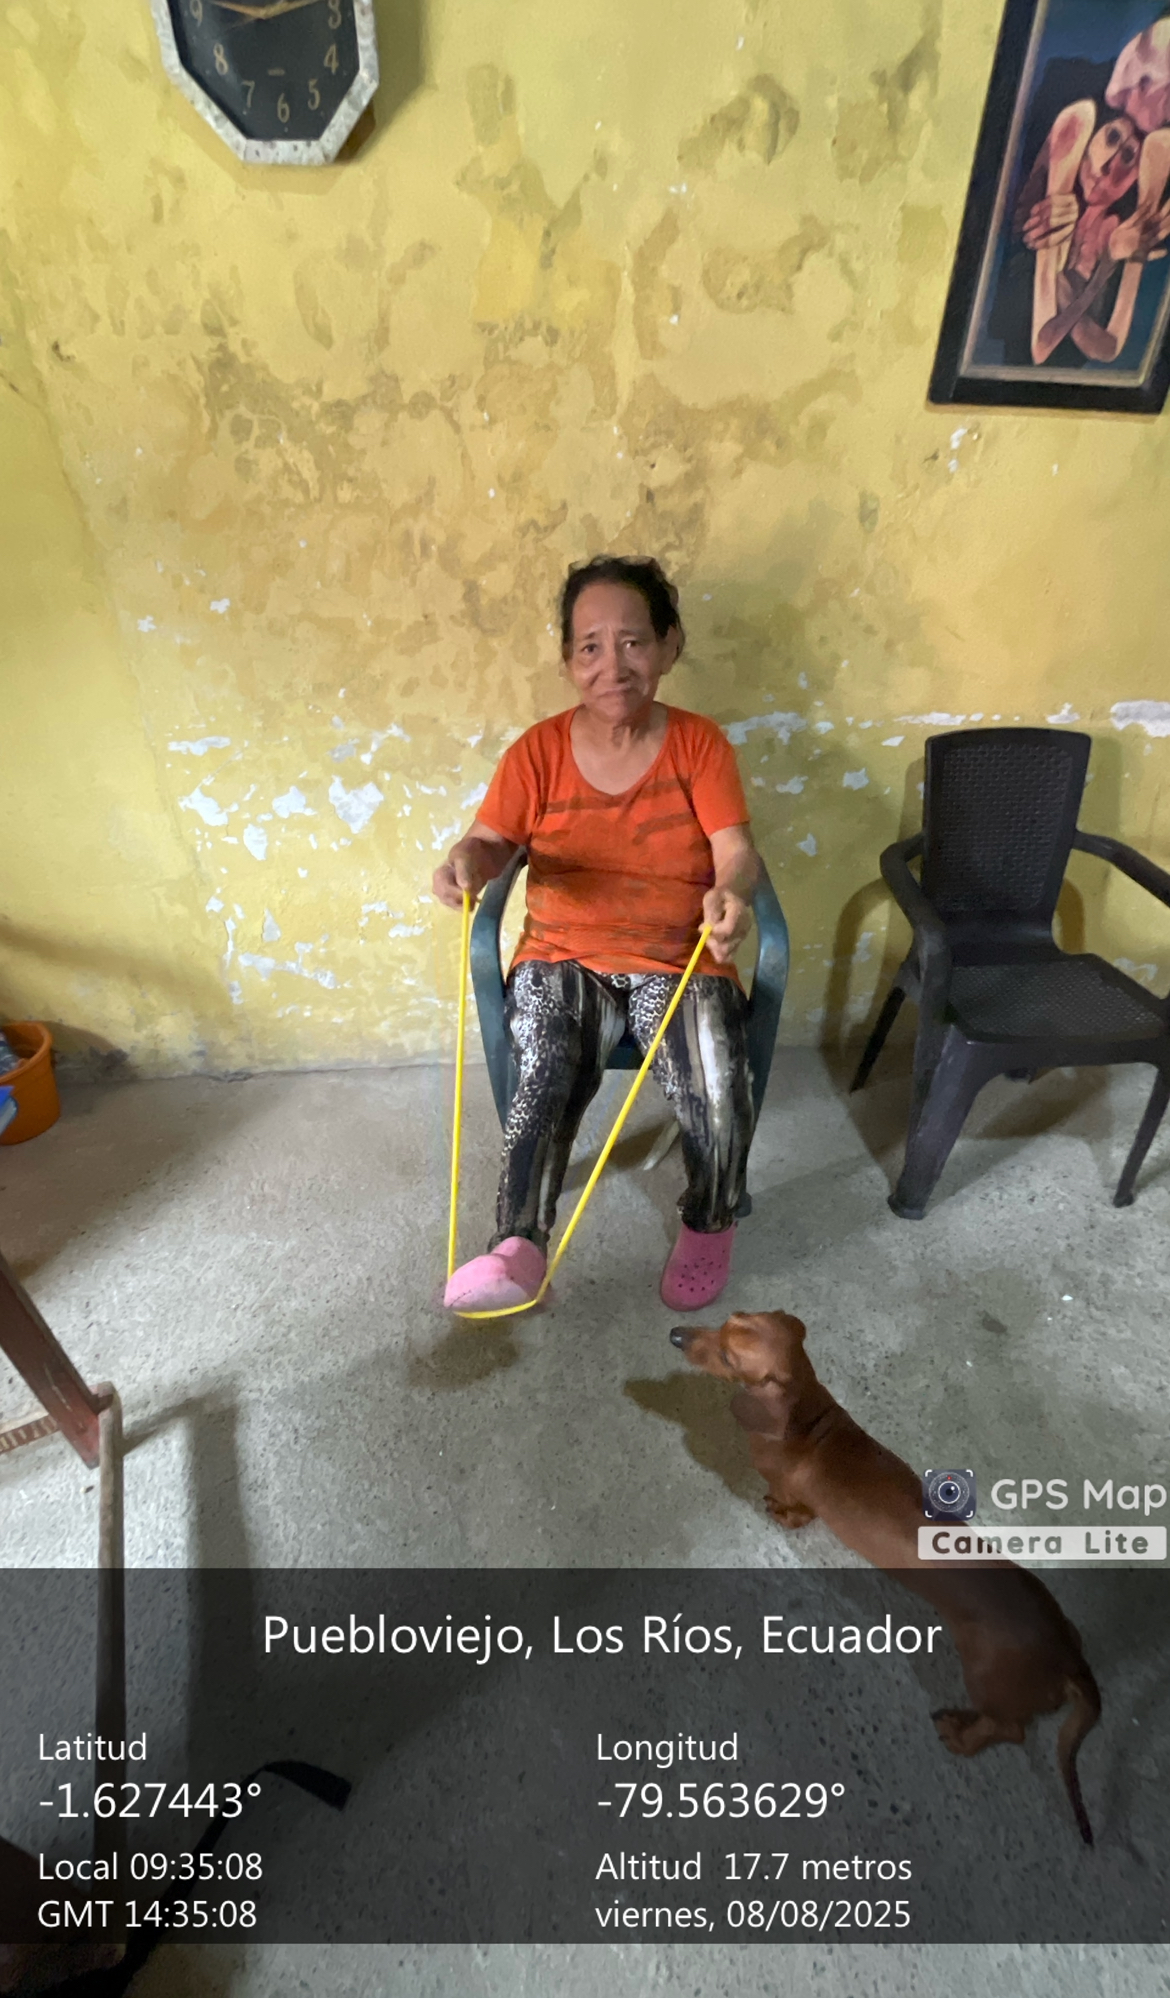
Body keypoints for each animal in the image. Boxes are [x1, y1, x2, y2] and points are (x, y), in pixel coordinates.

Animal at [670, 1309, 1101, 1844]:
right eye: (728, 1318)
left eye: (729, 1357)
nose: (675, 1335)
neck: (806, 1422)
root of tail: (1068, 1658)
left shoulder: (796, 1496)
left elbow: (792, 1510)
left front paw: (781, 1514)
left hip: (984, 1675)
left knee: (1009, 1729)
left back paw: (960, 1735)